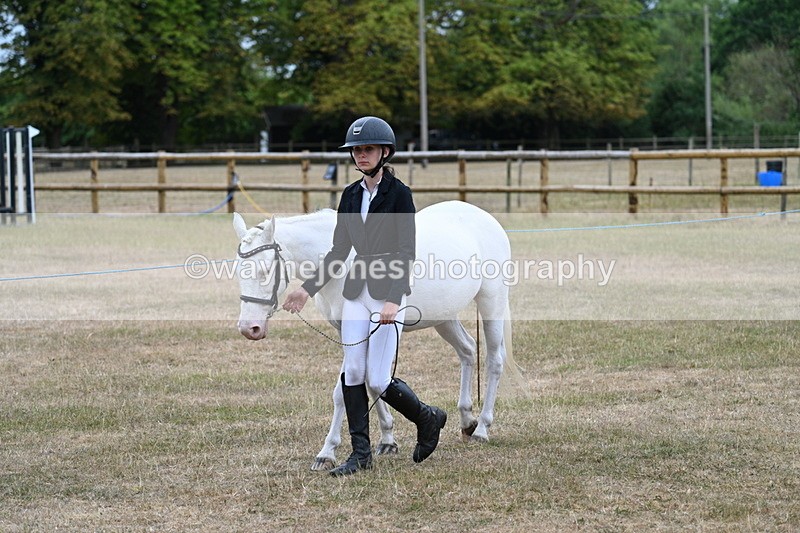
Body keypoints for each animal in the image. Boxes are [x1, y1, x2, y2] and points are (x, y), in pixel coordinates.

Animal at [233, 200, 520, 471]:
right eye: (238, 271)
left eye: (265, 270)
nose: (250, 328)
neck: (345, 266)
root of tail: (484, 217)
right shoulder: (349, 332)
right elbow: (369, 383)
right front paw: (387, 439)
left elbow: (345, 392)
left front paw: (327, 453)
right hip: (444, 317)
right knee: (468, 351)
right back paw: (467, 420)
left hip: (491, 304)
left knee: (494, 361)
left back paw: (482, 429)